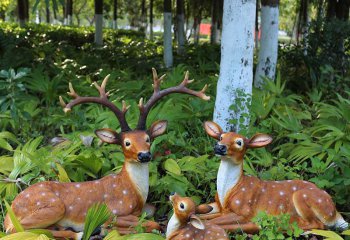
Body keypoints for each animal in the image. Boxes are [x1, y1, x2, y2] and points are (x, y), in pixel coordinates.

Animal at [2, 68, 209, 239]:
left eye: (148, 139)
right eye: (126, 142)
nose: (144, 155)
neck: (133, 190)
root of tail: (10, 211)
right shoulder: (112, 212)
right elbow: (149, 223)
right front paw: (105, 229)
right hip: (53, 206)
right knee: (16, 230)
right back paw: (81, 233)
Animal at [201, 121, 348, 233]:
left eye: (239, 142)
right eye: (221, 137)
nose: (219, 147)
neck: (230, 188)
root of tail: (335, 213)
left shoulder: (244, 211)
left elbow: (215, 221)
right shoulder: (219, 206)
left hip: (303, 197)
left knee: (317, 225)